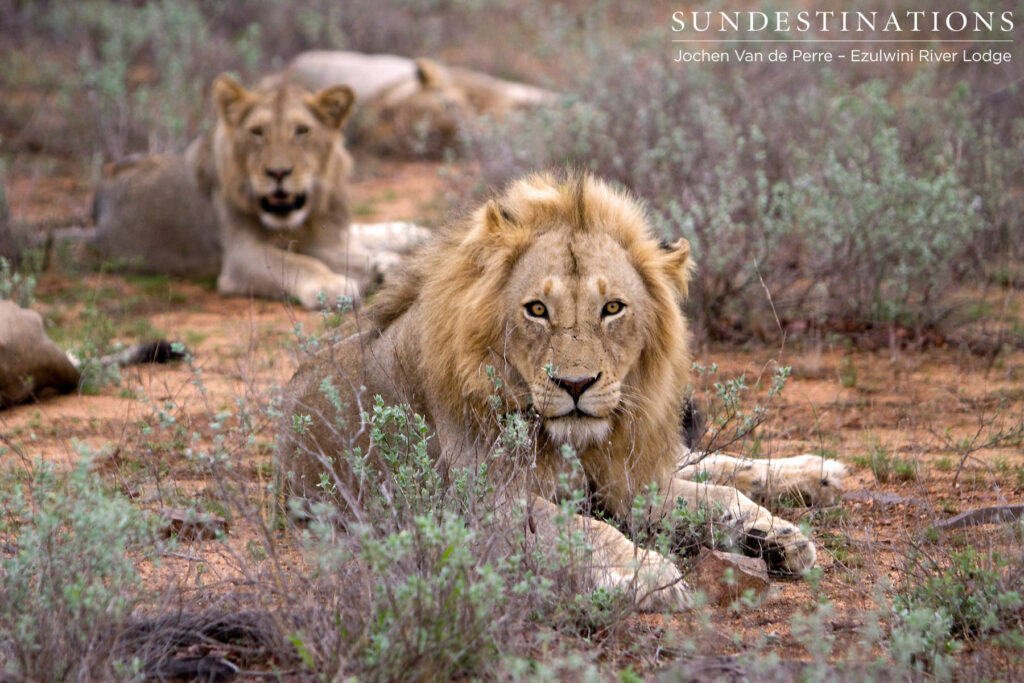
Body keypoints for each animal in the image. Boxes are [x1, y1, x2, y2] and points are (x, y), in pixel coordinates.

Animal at [277, 172, 846, 611]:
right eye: (536, 310)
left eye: (612, 308)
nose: (575, 385)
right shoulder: (481, 501)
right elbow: (583, 529)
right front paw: (651, 574)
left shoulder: (624, 480)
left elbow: (713, 493)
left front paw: (773, 534)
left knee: (708, 463)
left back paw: (810, 484)